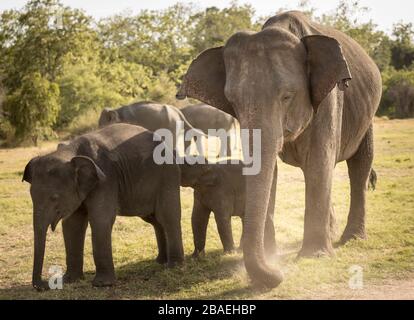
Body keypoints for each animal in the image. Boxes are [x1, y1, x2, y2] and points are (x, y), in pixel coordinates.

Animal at [23, 122, 184, 290]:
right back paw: (160, 261)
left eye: (54, 197)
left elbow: (100, 220)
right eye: (31, 196)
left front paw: (102, 285)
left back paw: (174, 266)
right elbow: (72, 225)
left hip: (168, 176)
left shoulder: (106, 179)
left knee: (167, 217)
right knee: (155, 220)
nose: (43, 285)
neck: (70, 151)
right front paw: (70, 280)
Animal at [175, 11, 382, 288]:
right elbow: (269, 169)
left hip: (366, 116)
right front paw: (273, 254)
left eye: (287, 97)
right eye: (232, 101)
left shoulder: (330, 99)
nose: (280, 273)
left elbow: (319, 161)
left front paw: (314, 257)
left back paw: (352, 238)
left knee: (359, 166)